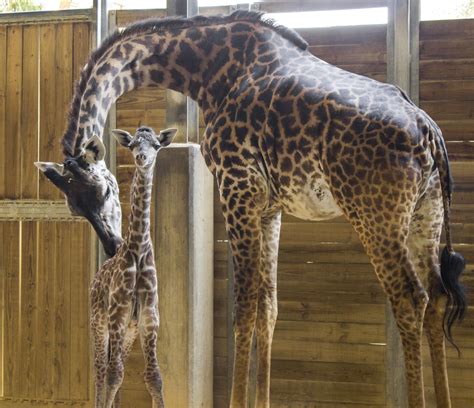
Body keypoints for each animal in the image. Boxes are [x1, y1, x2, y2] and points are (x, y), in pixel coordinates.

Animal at [90, 126, 177, 406]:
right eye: (133, 144)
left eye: (156, 145)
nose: (141, 157)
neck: (138, 250)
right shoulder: (117, 314)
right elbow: (113, 374)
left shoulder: (149, 317)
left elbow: (154, 377)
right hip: (99, 323)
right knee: (100, 370)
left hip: (129, 331)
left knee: (112, 368)